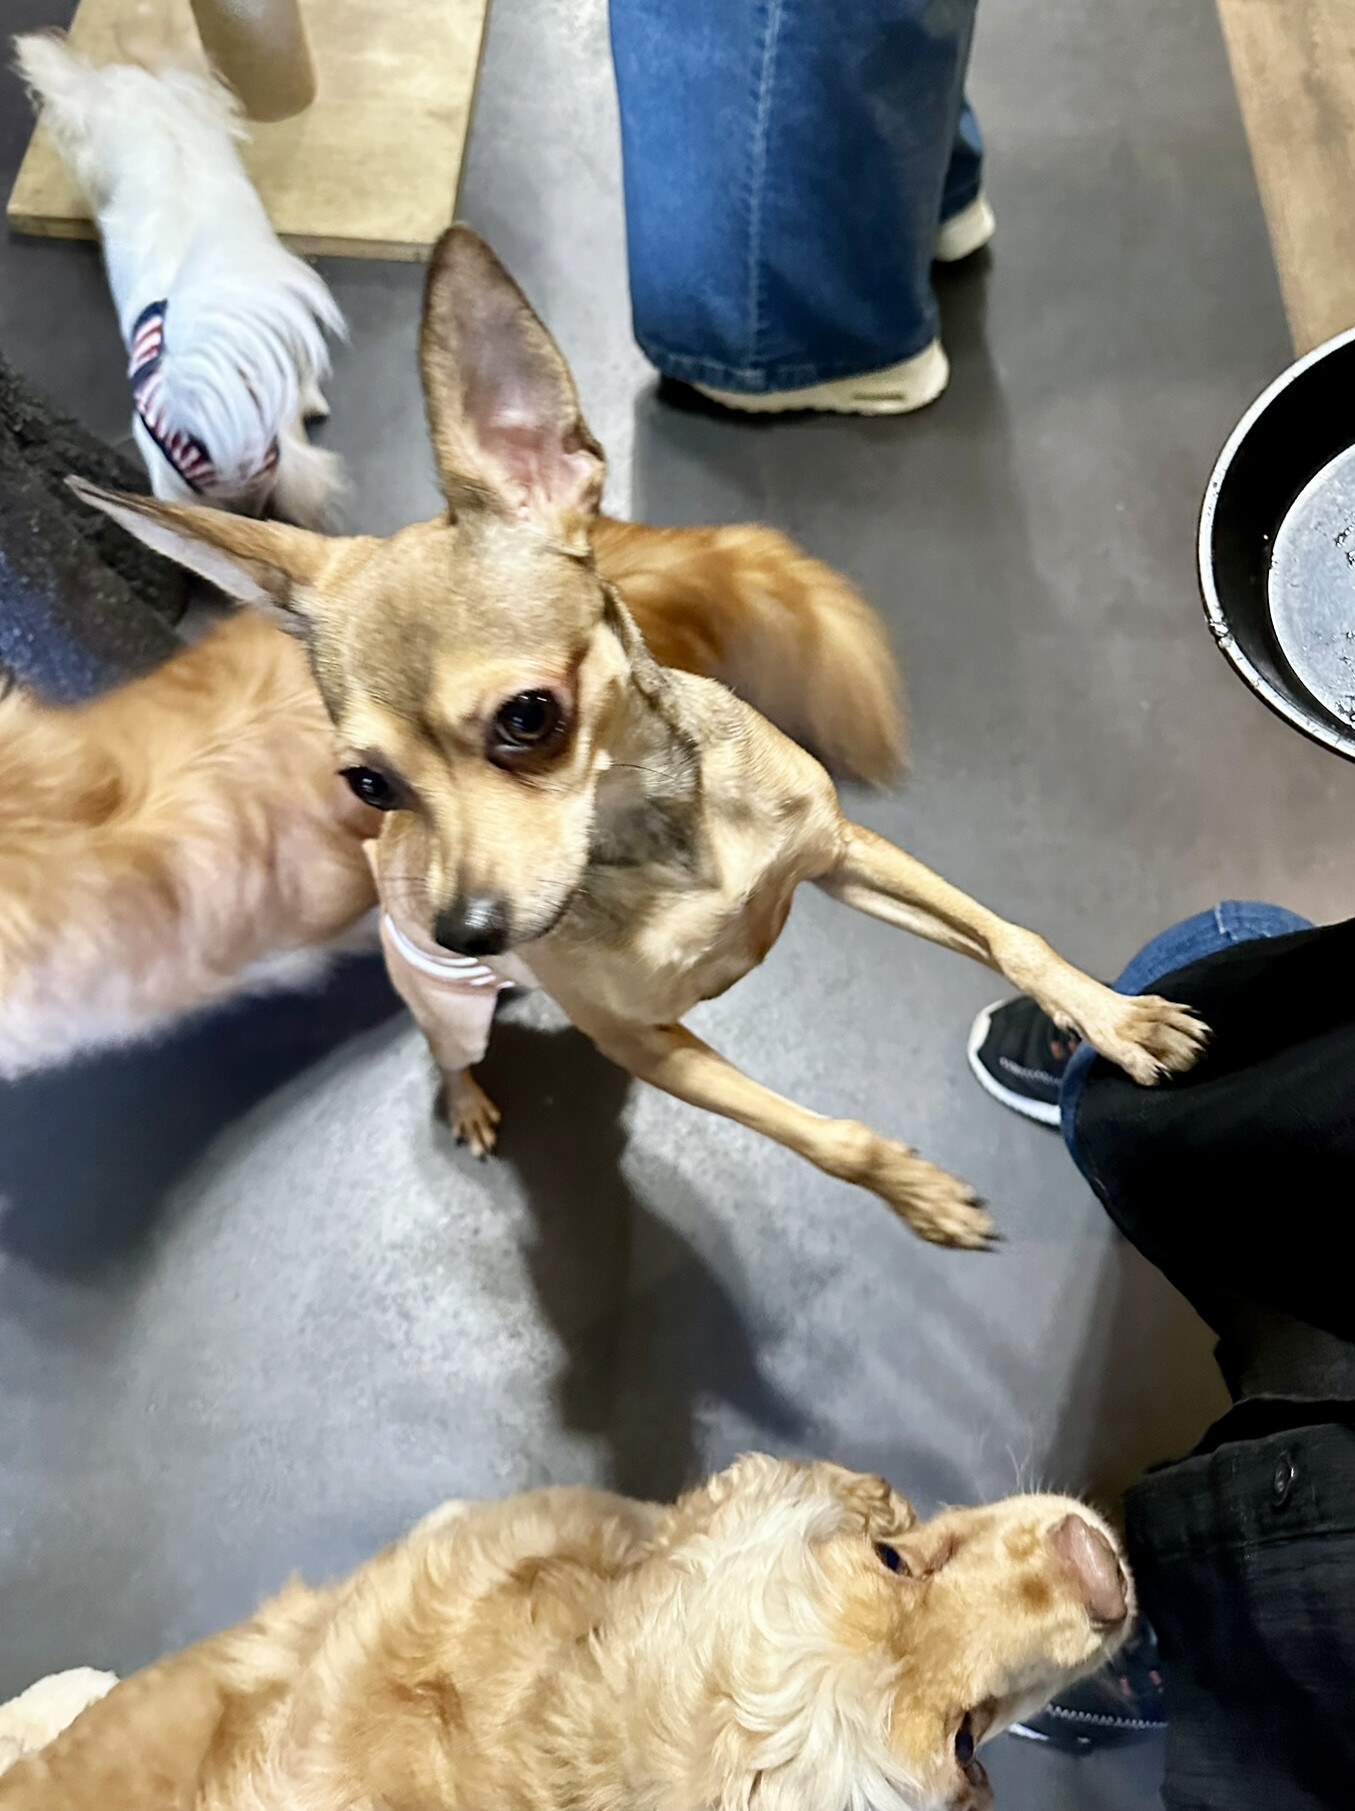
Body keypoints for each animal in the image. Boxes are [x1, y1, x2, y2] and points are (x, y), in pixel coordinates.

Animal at [74, 227, 1207, 1248]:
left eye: (528, 717)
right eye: (369, 783)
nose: (466, 930)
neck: (664, 839)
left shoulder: (842, 854)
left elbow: (1010, 936)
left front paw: (1111, 1018)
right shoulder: (652, 1047)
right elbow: (826, 1138)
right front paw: (914, 1193)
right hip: (445, 1006)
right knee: (447, 1052)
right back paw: (469, 1098)